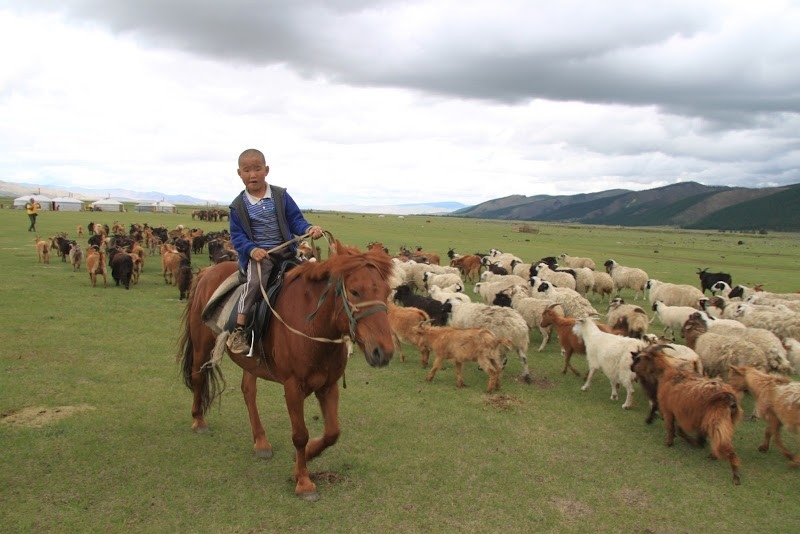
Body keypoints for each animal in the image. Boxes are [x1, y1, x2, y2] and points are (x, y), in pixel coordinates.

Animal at [179, 239, 396, 502]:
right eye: (355, 291)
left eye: (386, 292)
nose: (383, 352)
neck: (313, 325)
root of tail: (207, 272)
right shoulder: (293, 387)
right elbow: (300, 434)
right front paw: (303, 481)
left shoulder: (328, 385)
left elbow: (332, 432)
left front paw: (308, 455)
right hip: (202, 345)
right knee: (198, 377)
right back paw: (199, 420)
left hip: (252, 361)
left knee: (248, 391)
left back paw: (261, 442)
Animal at [632, 346, 744, 488]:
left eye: (638, 359)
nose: (631, 367)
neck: (666, 373)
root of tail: (729, 396)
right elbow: (680, 430)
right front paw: (696, 441)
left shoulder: (669, 410)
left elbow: (671, 428)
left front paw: (669, 442)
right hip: (728, 420)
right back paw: (712, 453)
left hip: (717, 420)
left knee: (725, 445)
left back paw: (735, 475)